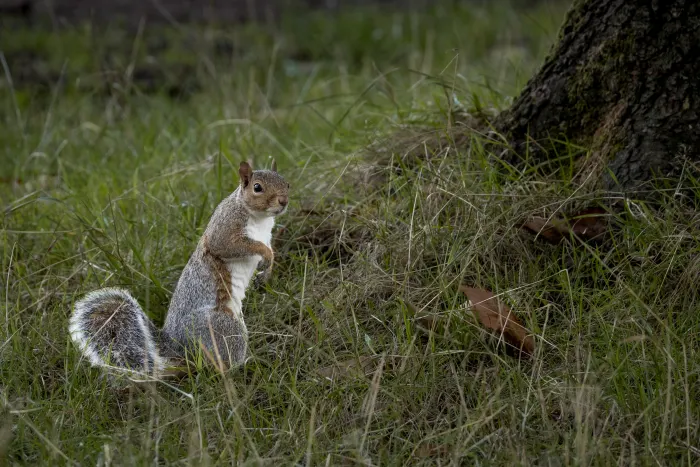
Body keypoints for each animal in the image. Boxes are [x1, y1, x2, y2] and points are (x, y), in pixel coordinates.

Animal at [68, 160, 289, 376]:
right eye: (257, 187)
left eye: (286, 183)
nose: (283, 201)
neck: (259, 219)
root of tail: (178, 348)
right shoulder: (225, 229)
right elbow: (234, 246)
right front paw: (265, 255)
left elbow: (269, 249)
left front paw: (268, 268)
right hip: (223, 327)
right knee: (219, 365)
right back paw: (245, 365)